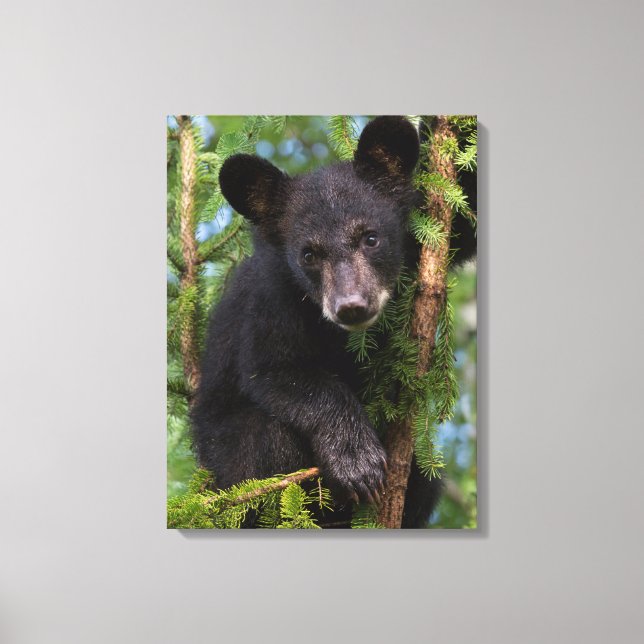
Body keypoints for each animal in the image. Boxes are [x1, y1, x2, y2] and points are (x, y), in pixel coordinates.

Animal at [191, 116, 475, 528]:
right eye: (309, 254)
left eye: (371, 237)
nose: (351, 306)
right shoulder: (271, 299)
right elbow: (277, 370)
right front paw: (357, 461)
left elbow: (465, 216)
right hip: (227, 463)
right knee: (263, 441)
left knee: (426, 483)